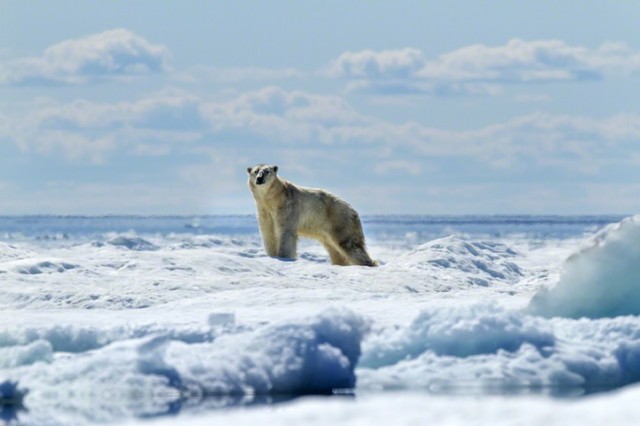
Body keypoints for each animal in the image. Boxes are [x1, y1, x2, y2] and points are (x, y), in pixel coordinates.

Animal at [247, 164, 376, 266]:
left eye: (267, 171)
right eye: (255, 171)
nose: (259, 178)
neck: (274, 199)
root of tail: (354, 211)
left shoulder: (287, 207)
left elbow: (285, 232)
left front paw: (284, 257)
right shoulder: (264, 210)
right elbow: (268, 232)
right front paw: (272, 256)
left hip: (340, 220)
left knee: (349, 244)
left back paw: (368, 263)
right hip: (326, 231)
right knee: (334, 249)